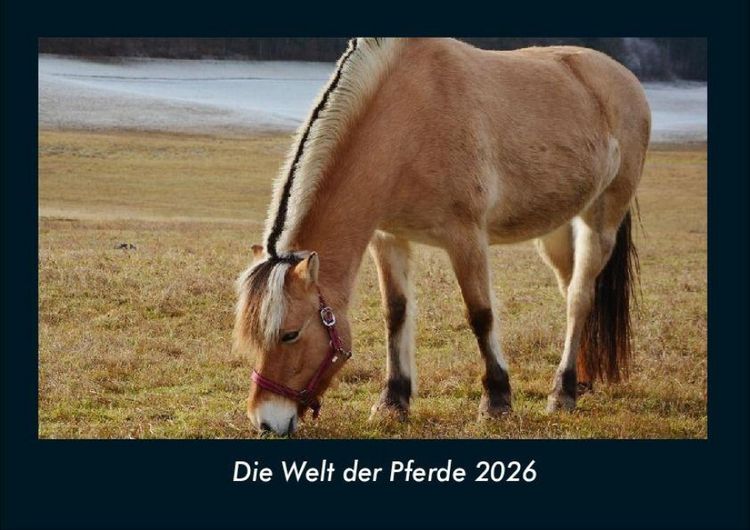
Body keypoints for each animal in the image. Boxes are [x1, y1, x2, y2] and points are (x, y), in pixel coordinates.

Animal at [234, 38, 650, 436]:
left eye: (290, 334)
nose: (266, 421)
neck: (408, 120)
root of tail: (625, 80)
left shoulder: (465, 238)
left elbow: (480, 314)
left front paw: (496, 402)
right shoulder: (388, 239)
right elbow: (396, 313)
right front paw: (393, 401)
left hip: (600, 220)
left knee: (579, 298)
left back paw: (562, 392)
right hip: (557, 231)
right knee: (573, 293)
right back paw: (582, 381)